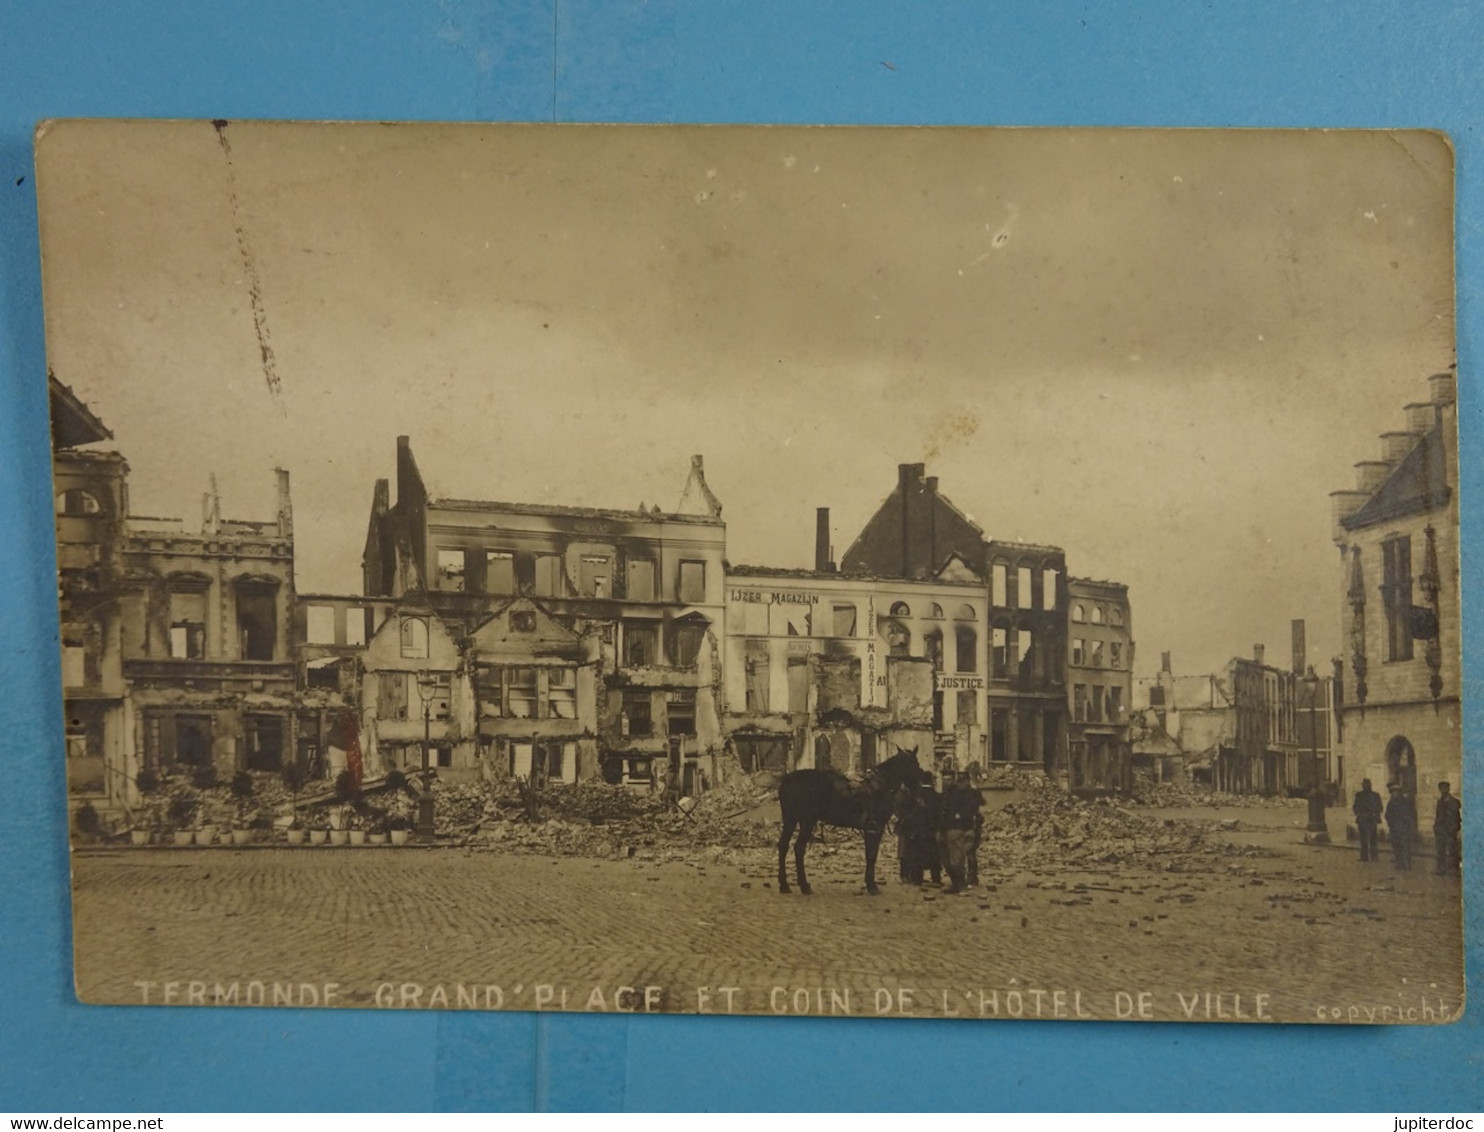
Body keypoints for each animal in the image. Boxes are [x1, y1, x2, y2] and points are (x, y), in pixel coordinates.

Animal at [783, 747, 920, 896]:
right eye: (916, 764)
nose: (917, 788)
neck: (882, 784)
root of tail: (787, 780)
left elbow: (869, 854)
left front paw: (869, 883)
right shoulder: (876, 827)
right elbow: (872, 854)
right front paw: (872, 886)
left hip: (790, 820)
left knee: (783, 846)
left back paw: (784, 885)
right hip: (807, 821)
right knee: (799, 848)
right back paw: (804, 885)